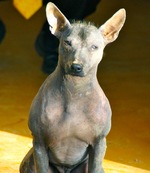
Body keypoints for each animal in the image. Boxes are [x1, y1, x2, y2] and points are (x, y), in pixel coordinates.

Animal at [19, 2, 125, 173]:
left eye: (94, 47)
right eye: (67, 43)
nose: (76, 67)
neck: (74, 92)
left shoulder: (99, 143)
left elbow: (95, 166)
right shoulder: (39, 143)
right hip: (29, 160)